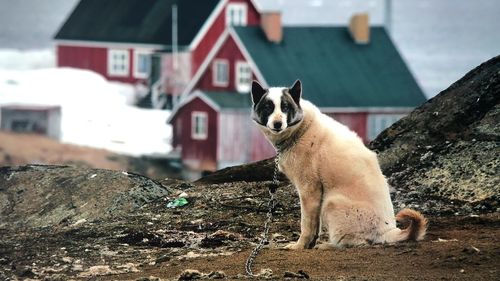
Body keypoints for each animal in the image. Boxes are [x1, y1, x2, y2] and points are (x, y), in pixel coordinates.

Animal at [252, 80, 428, 248]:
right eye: (268, 107)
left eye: (285, 107)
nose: (277, 124)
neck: (301, 129)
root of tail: (388, 231)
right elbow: (315, 227)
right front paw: (309, 245)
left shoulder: (309, 191)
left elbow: (307, 225)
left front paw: (300, 246)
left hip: (330, 202)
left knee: (357, 242)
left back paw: (328, 245)